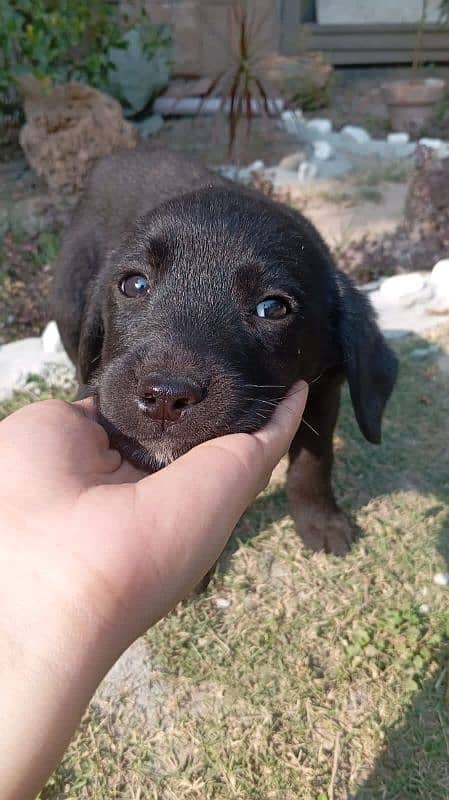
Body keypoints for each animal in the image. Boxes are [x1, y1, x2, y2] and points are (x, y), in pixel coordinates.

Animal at [51, 145, 396, 556]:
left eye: (272, 308)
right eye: (134, 285)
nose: (165, 397)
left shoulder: (323, 389)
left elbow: (313, 460)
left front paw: (320, 521)